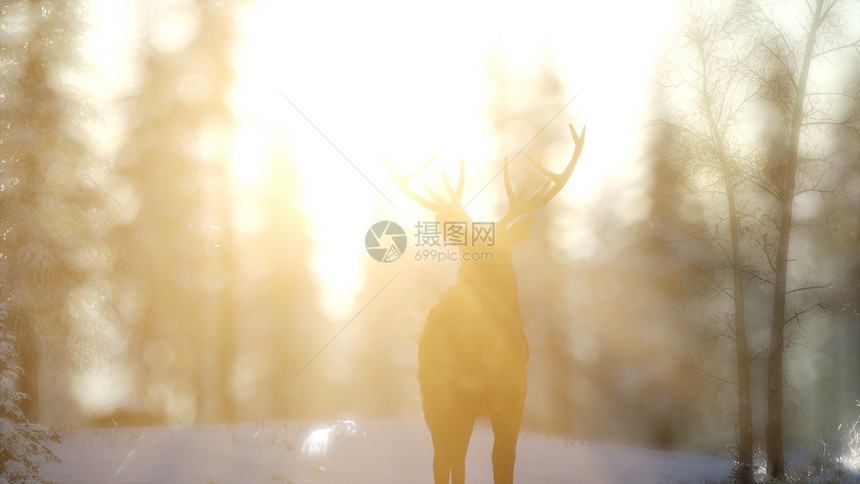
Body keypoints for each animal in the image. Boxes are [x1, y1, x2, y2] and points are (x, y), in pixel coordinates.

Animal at [392, 124, 584, 484]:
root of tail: (467, 332)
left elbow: (458, 460)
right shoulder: (515, 395)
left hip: (434, 389)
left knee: (442, 457)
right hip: (506, 389)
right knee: (501, 457)